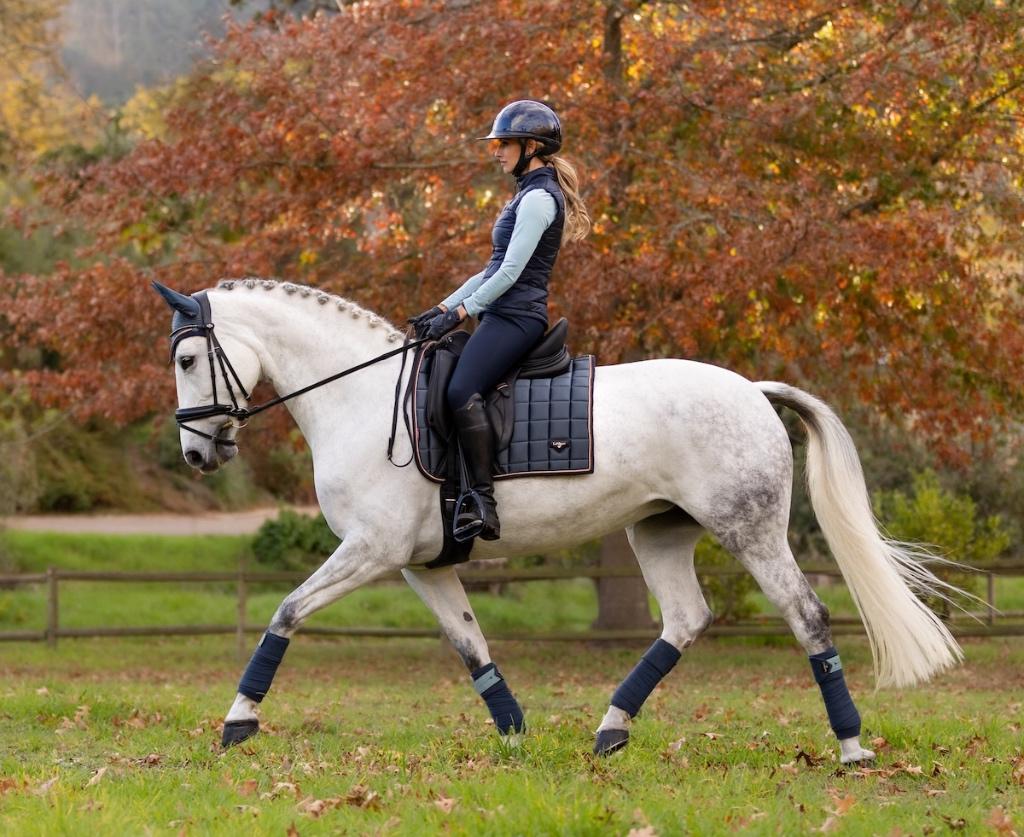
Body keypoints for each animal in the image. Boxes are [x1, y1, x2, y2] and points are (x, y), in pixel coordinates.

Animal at [153, 277, 963, 763]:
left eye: (189, 359)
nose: (197, 452)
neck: (361, 396)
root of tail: (752, 389)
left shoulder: (372, 550)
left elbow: (286, 611)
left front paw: (238, 720)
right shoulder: (420, 564)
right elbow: (471, 645)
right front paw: (515, 734)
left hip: (750, 530)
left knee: (807, 616)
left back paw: (851, 747)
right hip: (658, 530)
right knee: (685, 619)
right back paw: (610, 730)